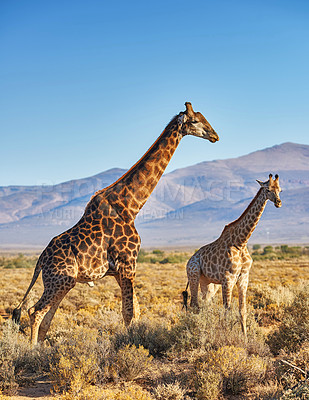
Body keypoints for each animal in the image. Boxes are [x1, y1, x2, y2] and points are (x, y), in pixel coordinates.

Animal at [12, 101, 219, 346]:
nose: (215, 135)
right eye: (195, 121)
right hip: (58, 279)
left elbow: (135, 310)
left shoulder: (121, 270)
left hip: (63, 281)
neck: (130, 206)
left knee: (46, 316)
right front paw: (130, 345)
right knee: (35, 311)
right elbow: (128, 312)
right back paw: (31, 350)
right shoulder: (128, 262)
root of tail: (41, 260)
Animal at [183, 173, 282, 336]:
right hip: (194, 275)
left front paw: (245, 338)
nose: (279, 203)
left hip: (208, 283)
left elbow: (242, 310)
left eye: (280, 190)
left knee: (204, 305)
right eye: (268, 189)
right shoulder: (228, 278)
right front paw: (226, 336)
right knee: (194, 305)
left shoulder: (243, 277)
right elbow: (227, 310)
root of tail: (190, 260)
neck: (241, 242)